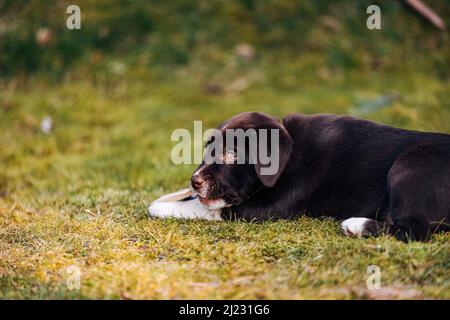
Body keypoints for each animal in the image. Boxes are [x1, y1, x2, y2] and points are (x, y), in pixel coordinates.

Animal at [191, 112, 450, 240]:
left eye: (232, 154)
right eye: (208, 148)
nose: (194, 181)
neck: (290, 154)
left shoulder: (269, 207)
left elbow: (207, 209)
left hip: (413, 161)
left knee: (413, 230)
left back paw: (356, 225)